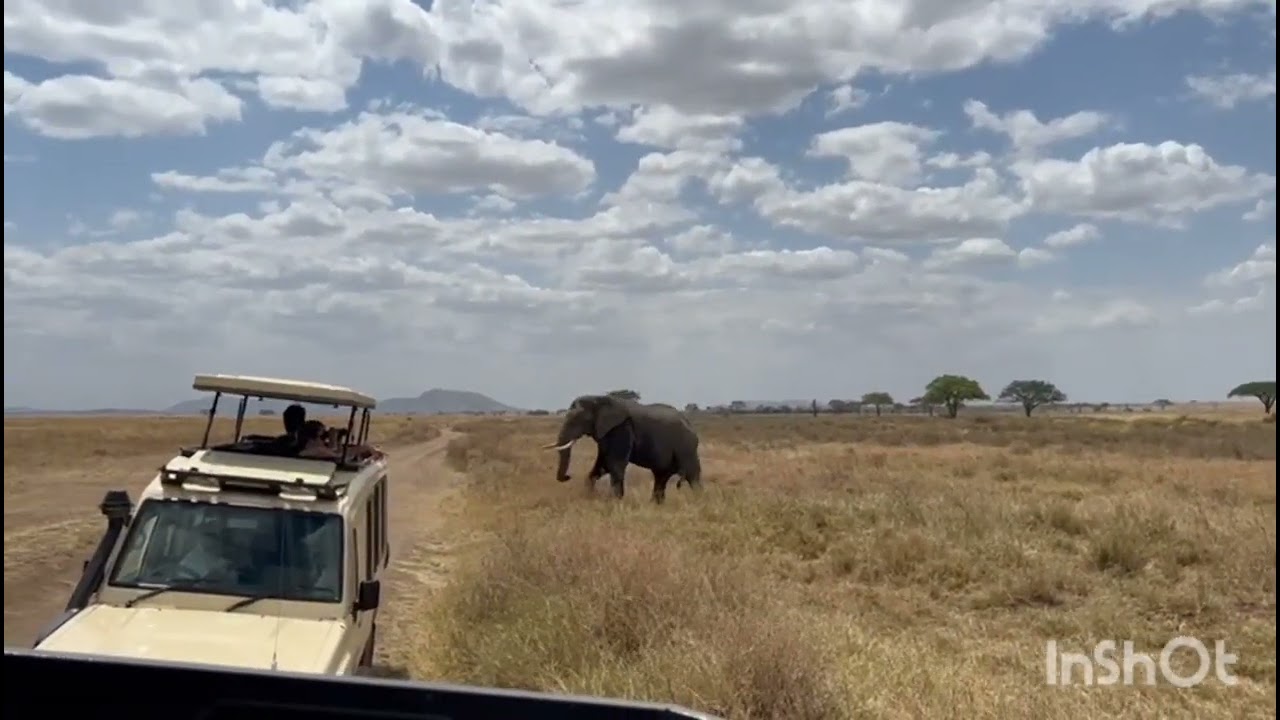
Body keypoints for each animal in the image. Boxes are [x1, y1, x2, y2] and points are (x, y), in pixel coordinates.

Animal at [542, 394, 702, 503]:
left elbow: (614, 464)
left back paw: (699, 502)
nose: (568, 476)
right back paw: (655, 506)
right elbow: (602, 465)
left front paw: (615, 503)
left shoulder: (622, 429)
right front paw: (589, 498)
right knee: (661, 477)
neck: (599, 399)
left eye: (578, 420)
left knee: (693, 476)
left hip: (686, 448)